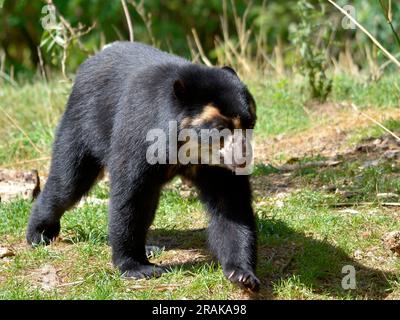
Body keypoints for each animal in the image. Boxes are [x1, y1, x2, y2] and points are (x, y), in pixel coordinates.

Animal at [26, 41, 260, 292]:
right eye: (219, 129)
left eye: (250, 124)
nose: (244, 158)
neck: (187, 147)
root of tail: (93, 59)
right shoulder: (140, 131)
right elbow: (130, 196)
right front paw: (137, 267)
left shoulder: (217, 167)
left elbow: (231, 204)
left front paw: (242, 275)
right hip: (82, 125)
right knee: (68, 183)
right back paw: (38, 234)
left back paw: (149, 247)